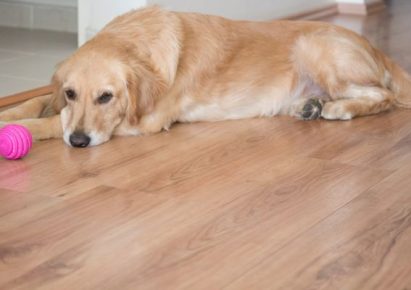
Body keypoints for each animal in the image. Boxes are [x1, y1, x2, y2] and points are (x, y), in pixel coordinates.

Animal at [0, 6, 411, 147]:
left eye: (106, 97)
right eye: (71, 93)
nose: (80, 142)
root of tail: (375, 47)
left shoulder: (145, 121)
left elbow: (53, 121)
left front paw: (28, 128)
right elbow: (36, 101)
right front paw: (11, 113)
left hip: (314, 45)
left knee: (384, 97)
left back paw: (339, 108)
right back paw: (312, 105)